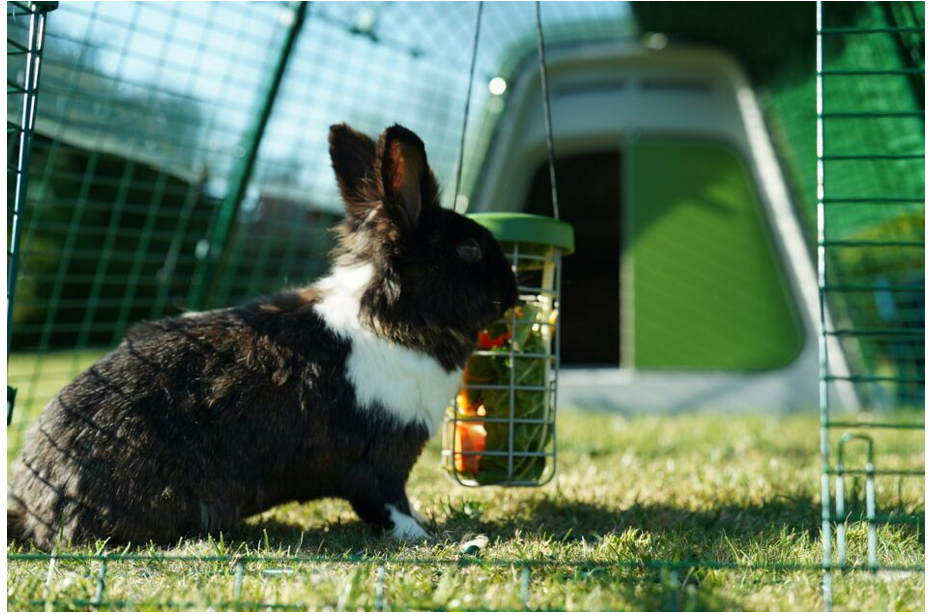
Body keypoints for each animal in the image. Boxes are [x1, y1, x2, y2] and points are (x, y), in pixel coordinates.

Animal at [8, 123, 519, 551]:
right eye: (469, 249)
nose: (513, 290)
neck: (394, 313)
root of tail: (31, 506)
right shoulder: (380, 458)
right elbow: (387, 504)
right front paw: (423, 534)